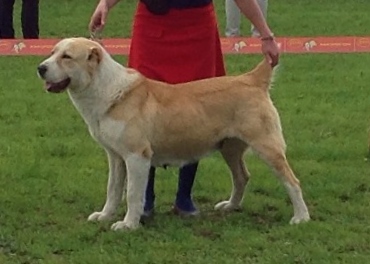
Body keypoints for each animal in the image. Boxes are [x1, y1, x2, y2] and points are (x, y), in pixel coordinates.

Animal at [36, 37, 310, 231]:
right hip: (229, 148)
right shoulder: (115, 156)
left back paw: (301, 217)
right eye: (52, 52)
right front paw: (104, 216)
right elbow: (113, 189)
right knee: (242, 176)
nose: (40, 68)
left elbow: (132, 193)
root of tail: (252, 79)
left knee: (292, 181)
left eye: (67, 57)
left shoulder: (136, 156)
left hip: (267, 147)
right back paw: (230, 206)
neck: (108, 91)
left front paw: (128, 225)